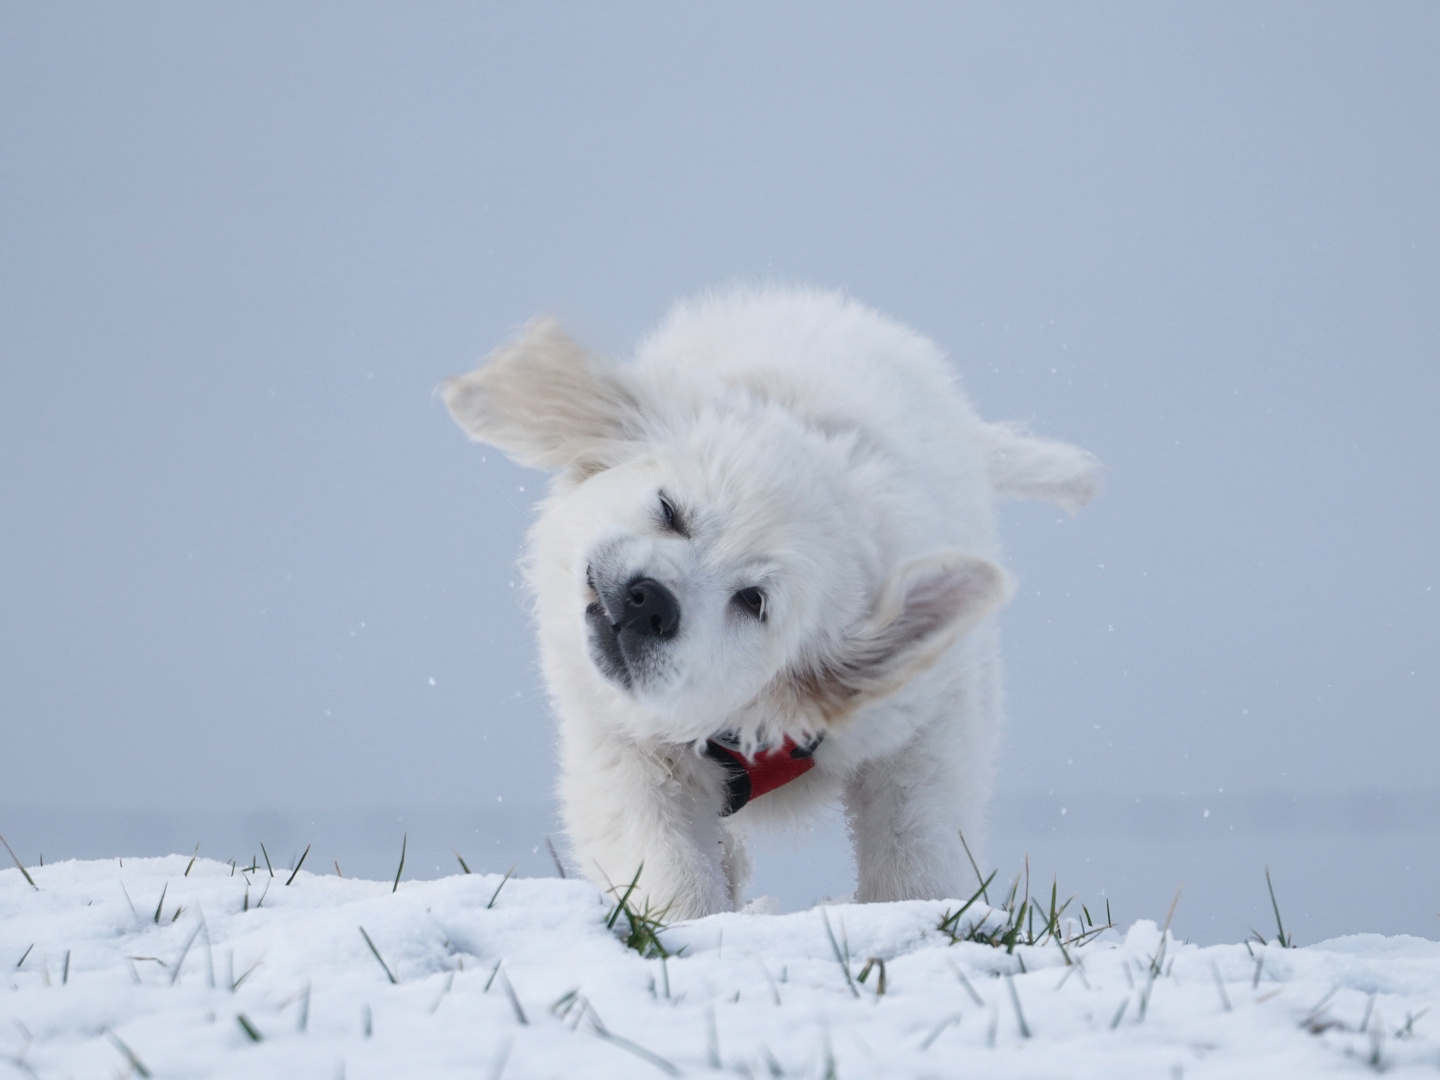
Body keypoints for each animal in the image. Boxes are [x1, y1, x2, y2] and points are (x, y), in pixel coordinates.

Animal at [443, 288, 1094, 921]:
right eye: (669, 511)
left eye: (752, 601)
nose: (650, 600)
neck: (742, 718)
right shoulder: (621, 746)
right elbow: (664, 858)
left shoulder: (922, 728)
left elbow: (916, 841)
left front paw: (916, 911)